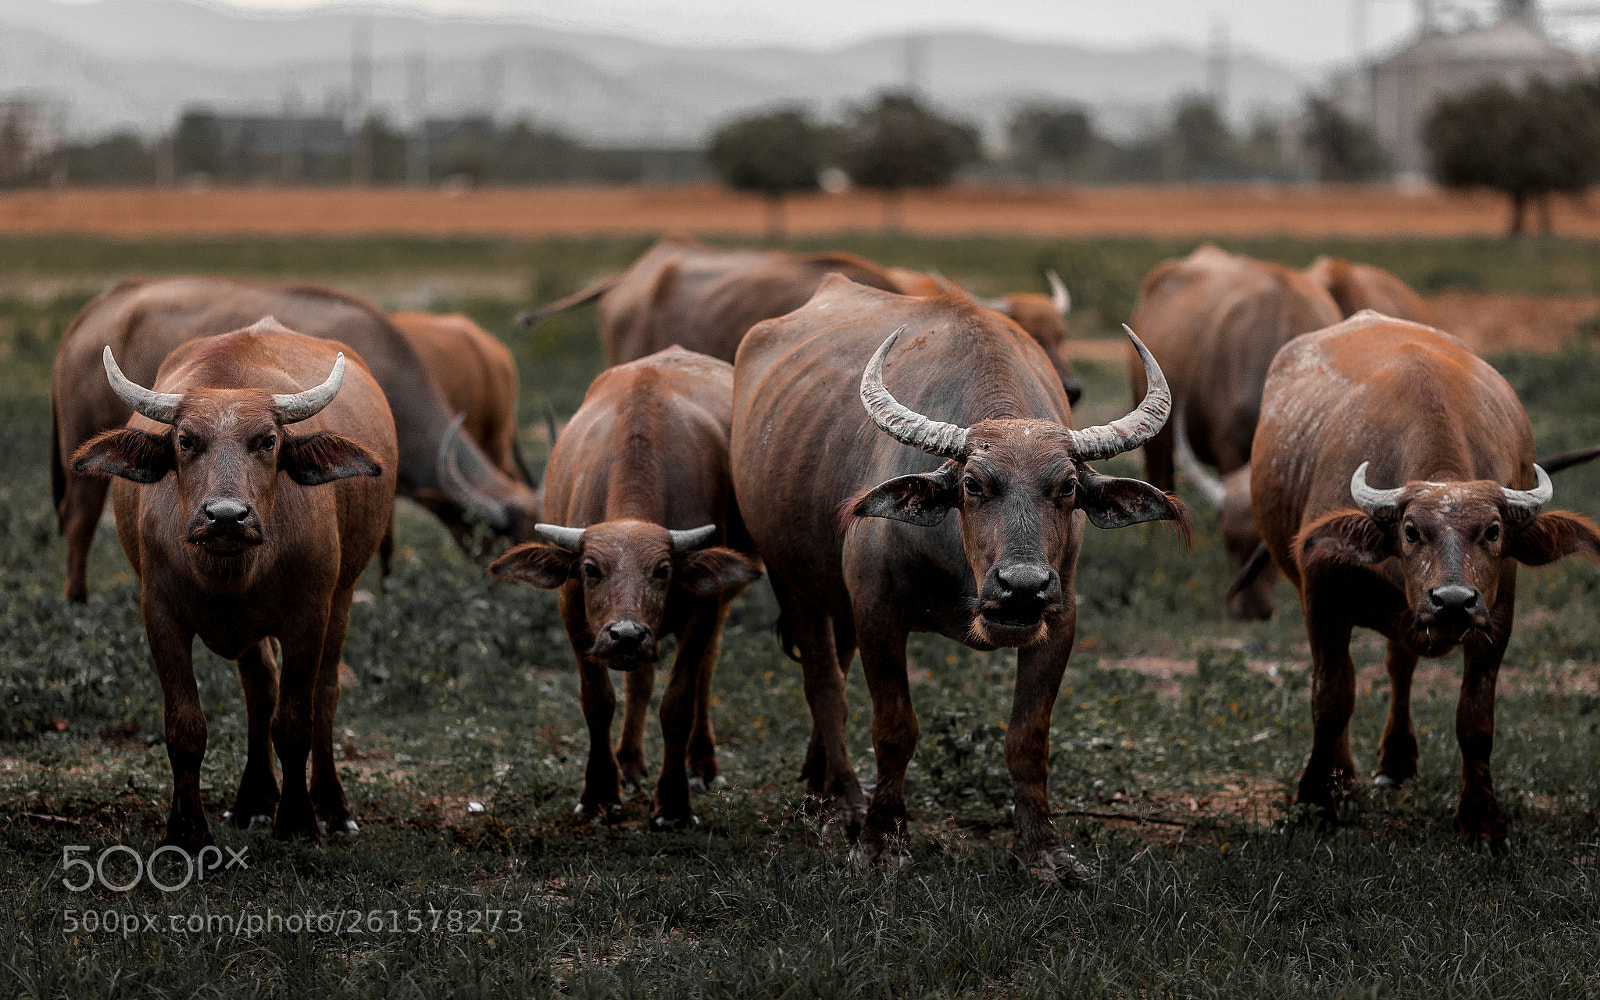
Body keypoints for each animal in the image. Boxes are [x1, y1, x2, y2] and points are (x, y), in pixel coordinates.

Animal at [71, 320, 397, 850]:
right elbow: (186, 727)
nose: (226, 515)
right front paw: (187, 832)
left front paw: (299, 822)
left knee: (325, 693)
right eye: (185, 440)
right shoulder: (159, 615)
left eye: (267, 441)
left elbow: (296, 720)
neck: (229, 571)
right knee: (260, 688)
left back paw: (331, 805)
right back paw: (255, 800)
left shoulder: (309, 611)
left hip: (343, 593)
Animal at [487, 347, 761, 827]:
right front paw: (600, 791)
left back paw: (702, 765)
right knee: (641, 679)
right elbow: (599, 701)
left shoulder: (702, 609)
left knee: (704, 671)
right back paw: (630, 764)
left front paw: (673, 803)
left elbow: (678, 704)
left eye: (664, 570)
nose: (626, 634)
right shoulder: (575, 614)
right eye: (591, 568)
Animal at [730, 275, 1185, 881]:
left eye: (1067, 487)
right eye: (972, 484)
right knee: (825, 685)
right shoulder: (877, 610)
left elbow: (1028, 737)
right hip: (790, 576)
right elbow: (894, 728)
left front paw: (1042, 851)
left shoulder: (1059, 619)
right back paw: (843, 804)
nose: (1021, 586)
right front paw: (881, 840)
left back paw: (817, 786)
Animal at [1250, 311, 1600, 852]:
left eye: (1493, 531)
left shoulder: (1497, 614)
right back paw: (1346, 785)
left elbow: (1475, 719)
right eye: (1411, 531)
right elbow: (1331, 699)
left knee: (1400, 664)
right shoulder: (1321, 595)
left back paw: (1396, 763)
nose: (1452, 601)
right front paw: (1316, 799)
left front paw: (1481, 820)